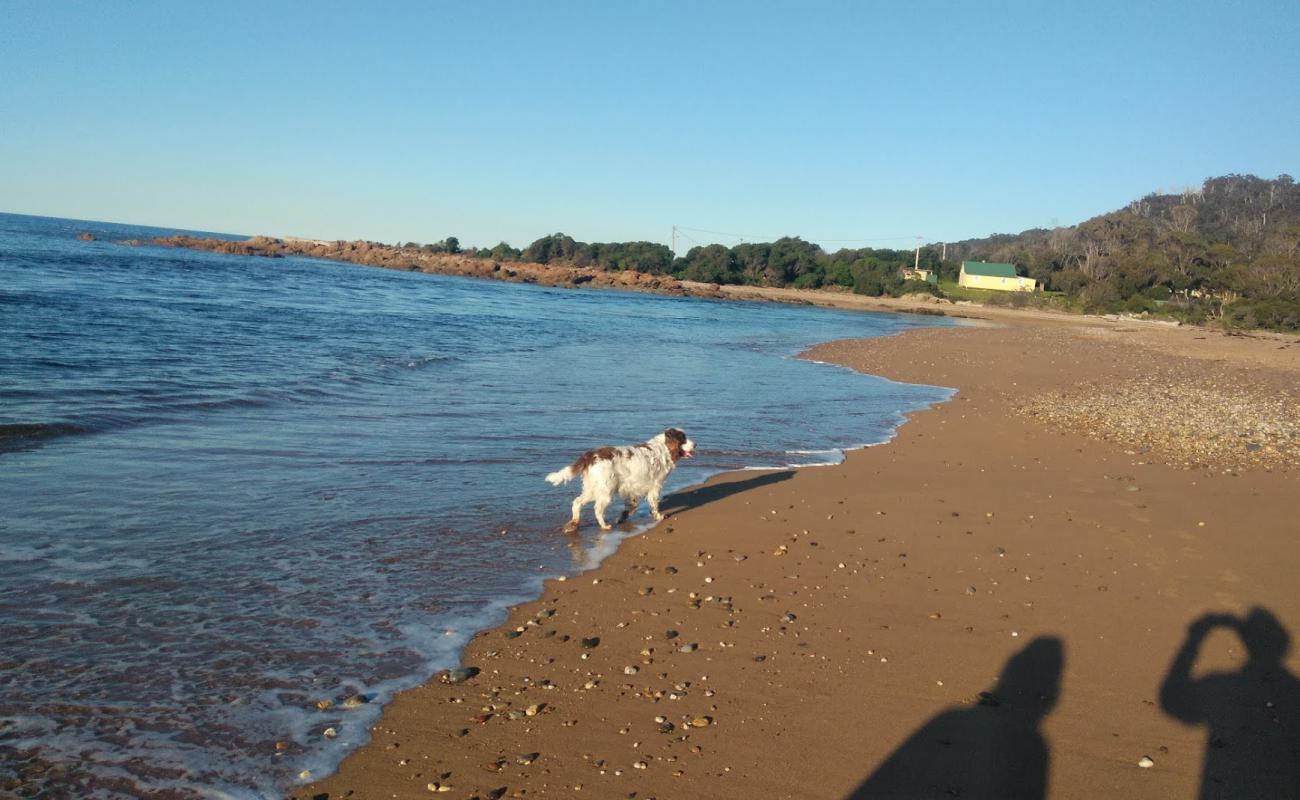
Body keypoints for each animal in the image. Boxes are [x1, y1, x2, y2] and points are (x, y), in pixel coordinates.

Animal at [543, 429, 696, 535]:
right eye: (683, 438)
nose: (695, 444)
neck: (663, 449)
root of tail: (590, 455)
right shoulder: (655, 486)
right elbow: (653, 504)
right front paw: (658, 516)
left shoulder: (630, 488)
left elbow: (632, 506)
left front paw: (622, 518)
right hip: (605, 491)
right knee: (597, 509)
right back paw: (604, 526)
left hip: (592, 488)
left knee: (577, 502)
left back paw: (574, 524)